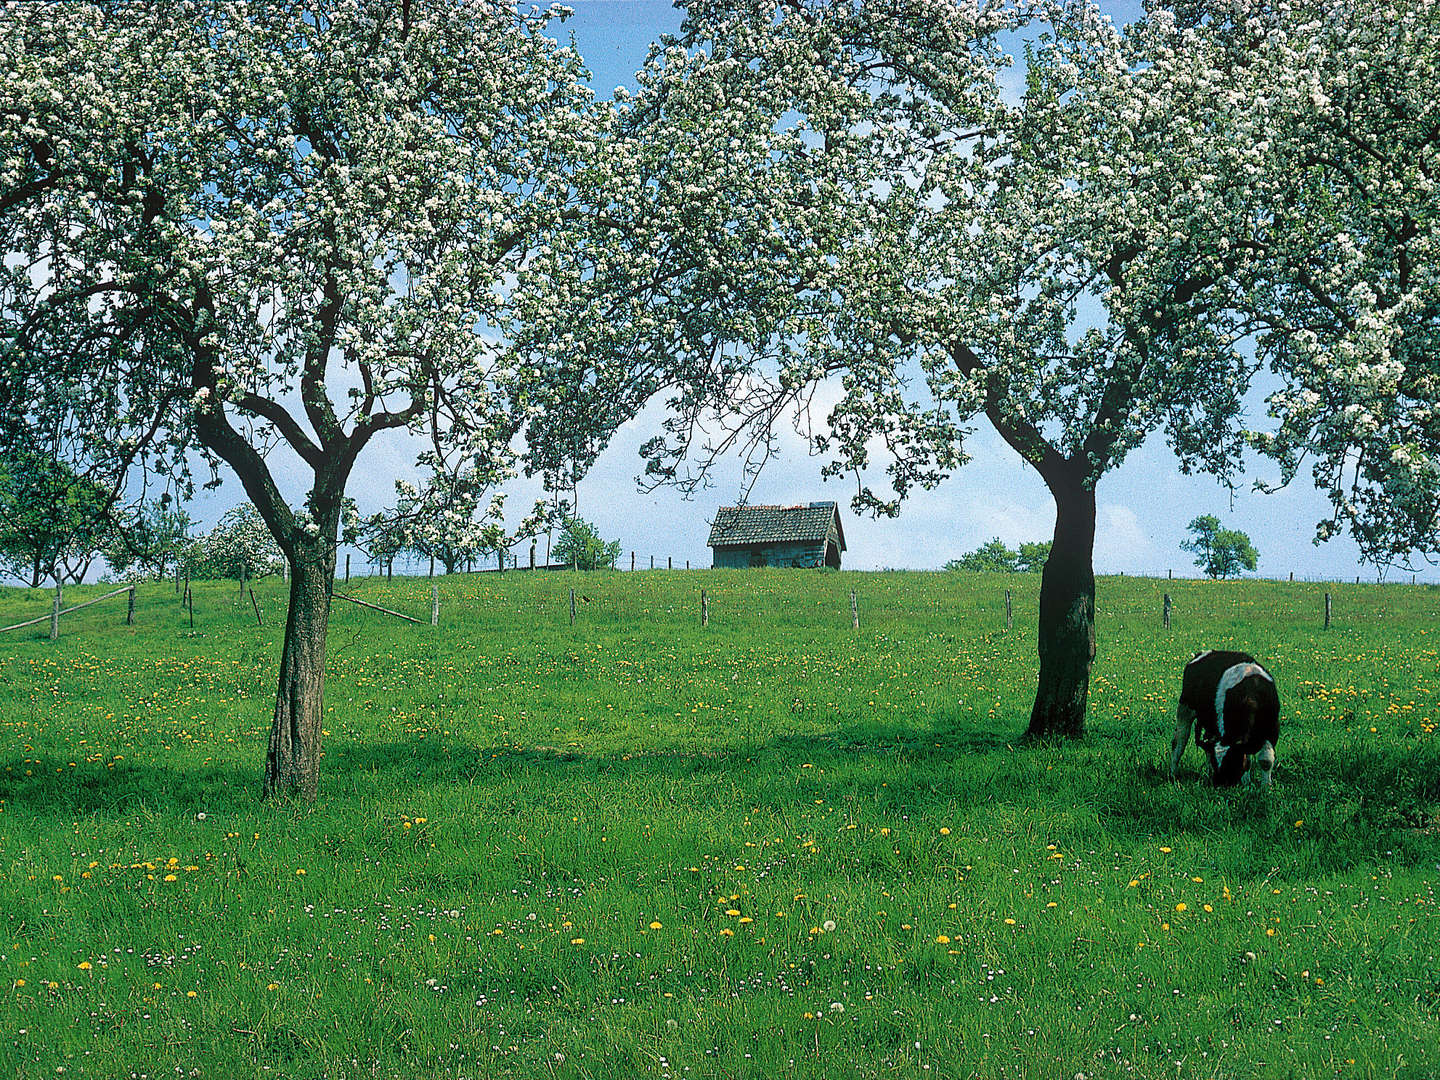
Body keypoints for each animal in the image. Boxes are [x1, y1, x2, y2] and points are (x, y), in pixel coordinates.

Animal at [1169, 648, 1284, 789]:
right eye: (1216, 762)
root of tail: (1204, 653)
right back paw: (1173, 773)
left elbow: (1264, 760)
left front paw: (1264, 786)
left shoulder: (1272, 727)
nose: (1219, 783)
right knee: (1179, 741)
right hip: (1185, 708)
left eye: (1232, 760)